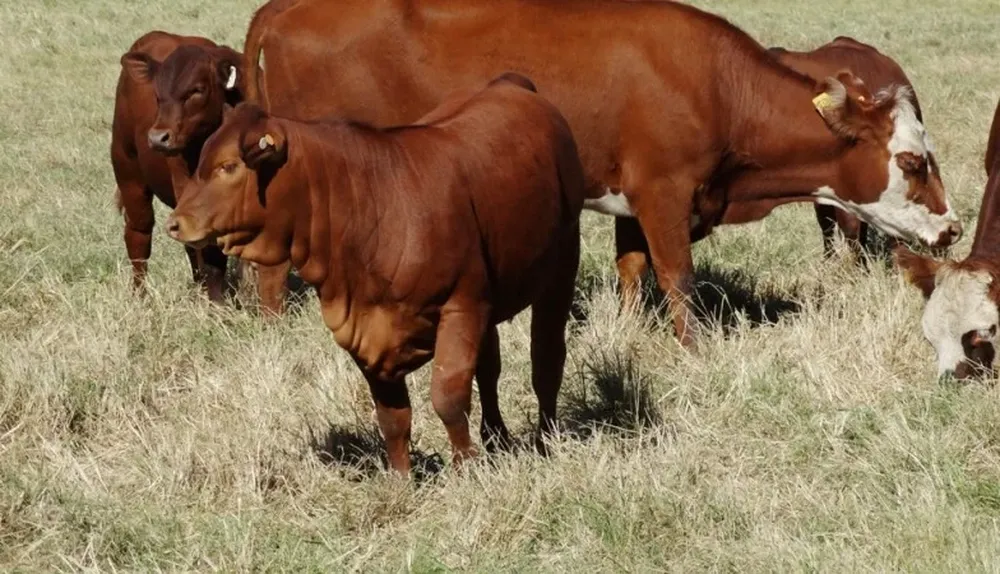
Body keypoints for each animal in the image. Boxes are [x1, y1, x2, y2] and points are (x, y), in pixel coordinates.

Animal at [111, 31, 243, 302]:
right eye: (157, 93)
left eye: (197, 90)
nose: (157, 138)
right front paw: (218, 303)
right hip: (127, 170)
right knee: (138, 234)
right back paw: (140, 295)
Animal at [164, 74, 589, 475]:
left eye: (228, 166)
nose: (175, 224)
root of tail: (510, 83)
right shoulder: (362, 332)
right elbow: (393, 417)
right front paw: (402, 482)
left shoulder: (461, 307)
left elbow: (448, 397)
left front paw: (467, 470)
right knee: (489, 369)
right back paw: (496, 438)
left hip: (561, 266)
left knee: (546, 358)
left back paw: (545, 438)